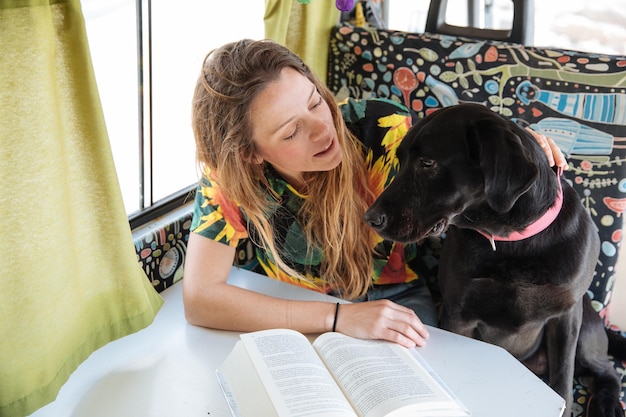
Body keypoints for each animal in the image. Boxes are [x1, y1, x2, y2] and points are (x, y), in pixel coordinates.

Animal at [364, 103, 620, 416]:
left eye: (427, 163)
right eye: (399, 161)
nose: (370, 218)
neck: (512, 241)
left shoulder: (566, 317)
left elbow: (562, 379)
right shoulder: (458, 313)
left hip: (585, 330)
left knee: (606, 369)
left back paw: (609, 404)